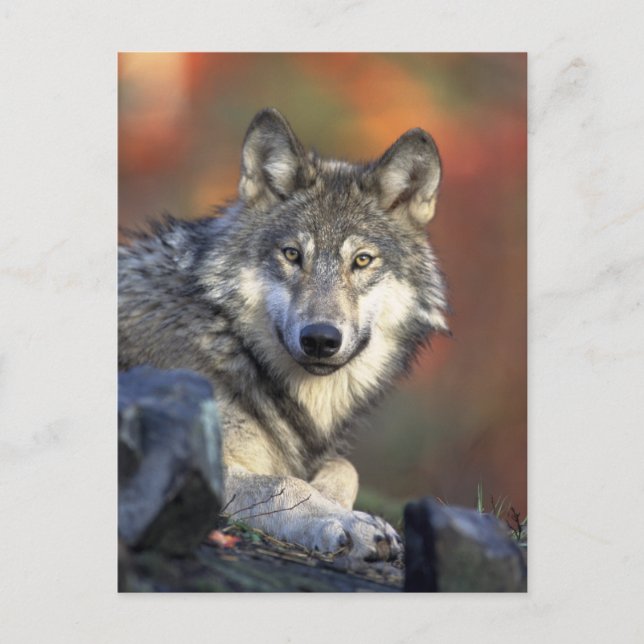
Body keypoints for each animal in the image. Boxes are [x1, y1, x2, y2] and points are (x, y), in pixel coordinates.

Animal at [119, 108, 449, 561]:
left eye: (362, 261)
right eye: (292, 255)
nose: (321, 339)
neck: (231, 342)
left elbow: (345, 468)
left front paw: (334, 500)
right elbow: (283, 483)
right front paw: (349, 522)